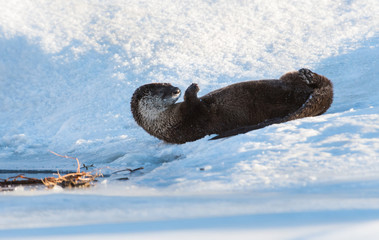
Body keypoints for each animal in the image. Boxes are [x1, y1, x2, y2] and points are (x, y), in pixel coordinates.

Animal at [132, 69, 334, 143]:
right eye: (161, 91)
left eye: (167, 83)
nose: (176, 89)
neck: (170, 122)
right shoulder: (192, 123)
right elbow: (198, 107)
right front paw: (192, 88)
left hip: (288, 77)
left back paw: (307, 74)